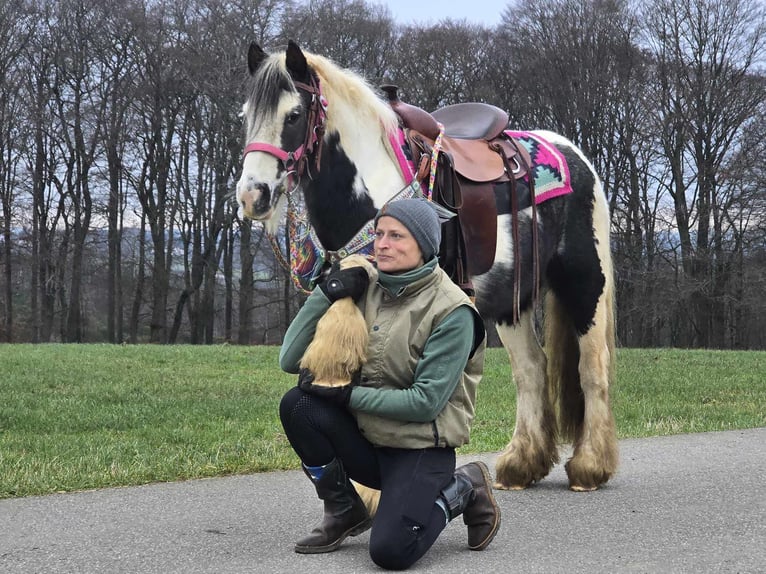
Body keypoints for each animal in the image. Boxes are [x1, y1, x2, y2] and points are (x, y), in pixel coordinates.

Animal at [237, 40, 620, 492]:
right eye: (245, 116)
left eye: (294, 115)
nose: (252, 195)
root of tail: (572, 154)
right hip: (513, 300)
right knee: (531, 369)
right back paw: (521, 465)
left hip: (585, 282)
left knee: (592, 367)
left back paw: (590, 467)